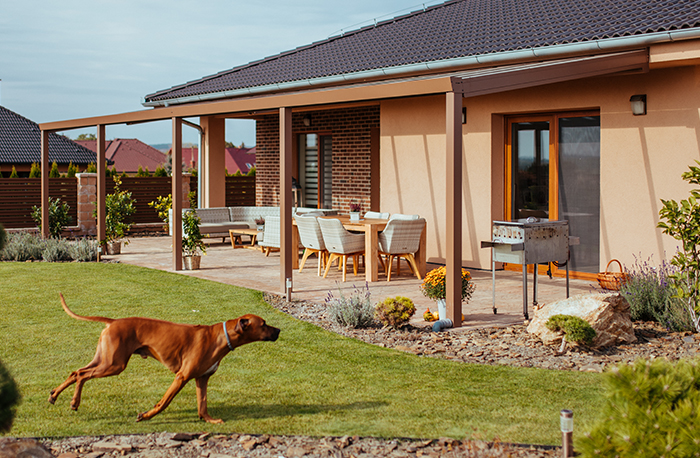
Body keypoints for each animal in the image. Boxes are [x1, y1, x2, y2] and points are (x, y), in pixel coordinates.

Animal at [47, 294, 278, 422]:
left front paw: (209, 421)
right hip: (114, 364)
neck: (220, 337)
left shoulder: (202, 378)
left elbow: (202, 404)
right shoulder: (181, 377)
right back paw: (74, 402)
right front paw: (146, 416)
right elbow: (164, 402)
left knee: (76, 372)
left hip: (104, 359)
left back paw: (55, 395)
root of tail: (113, 321)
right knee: (82, 375)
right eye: (264, 324)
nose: (279, 331)